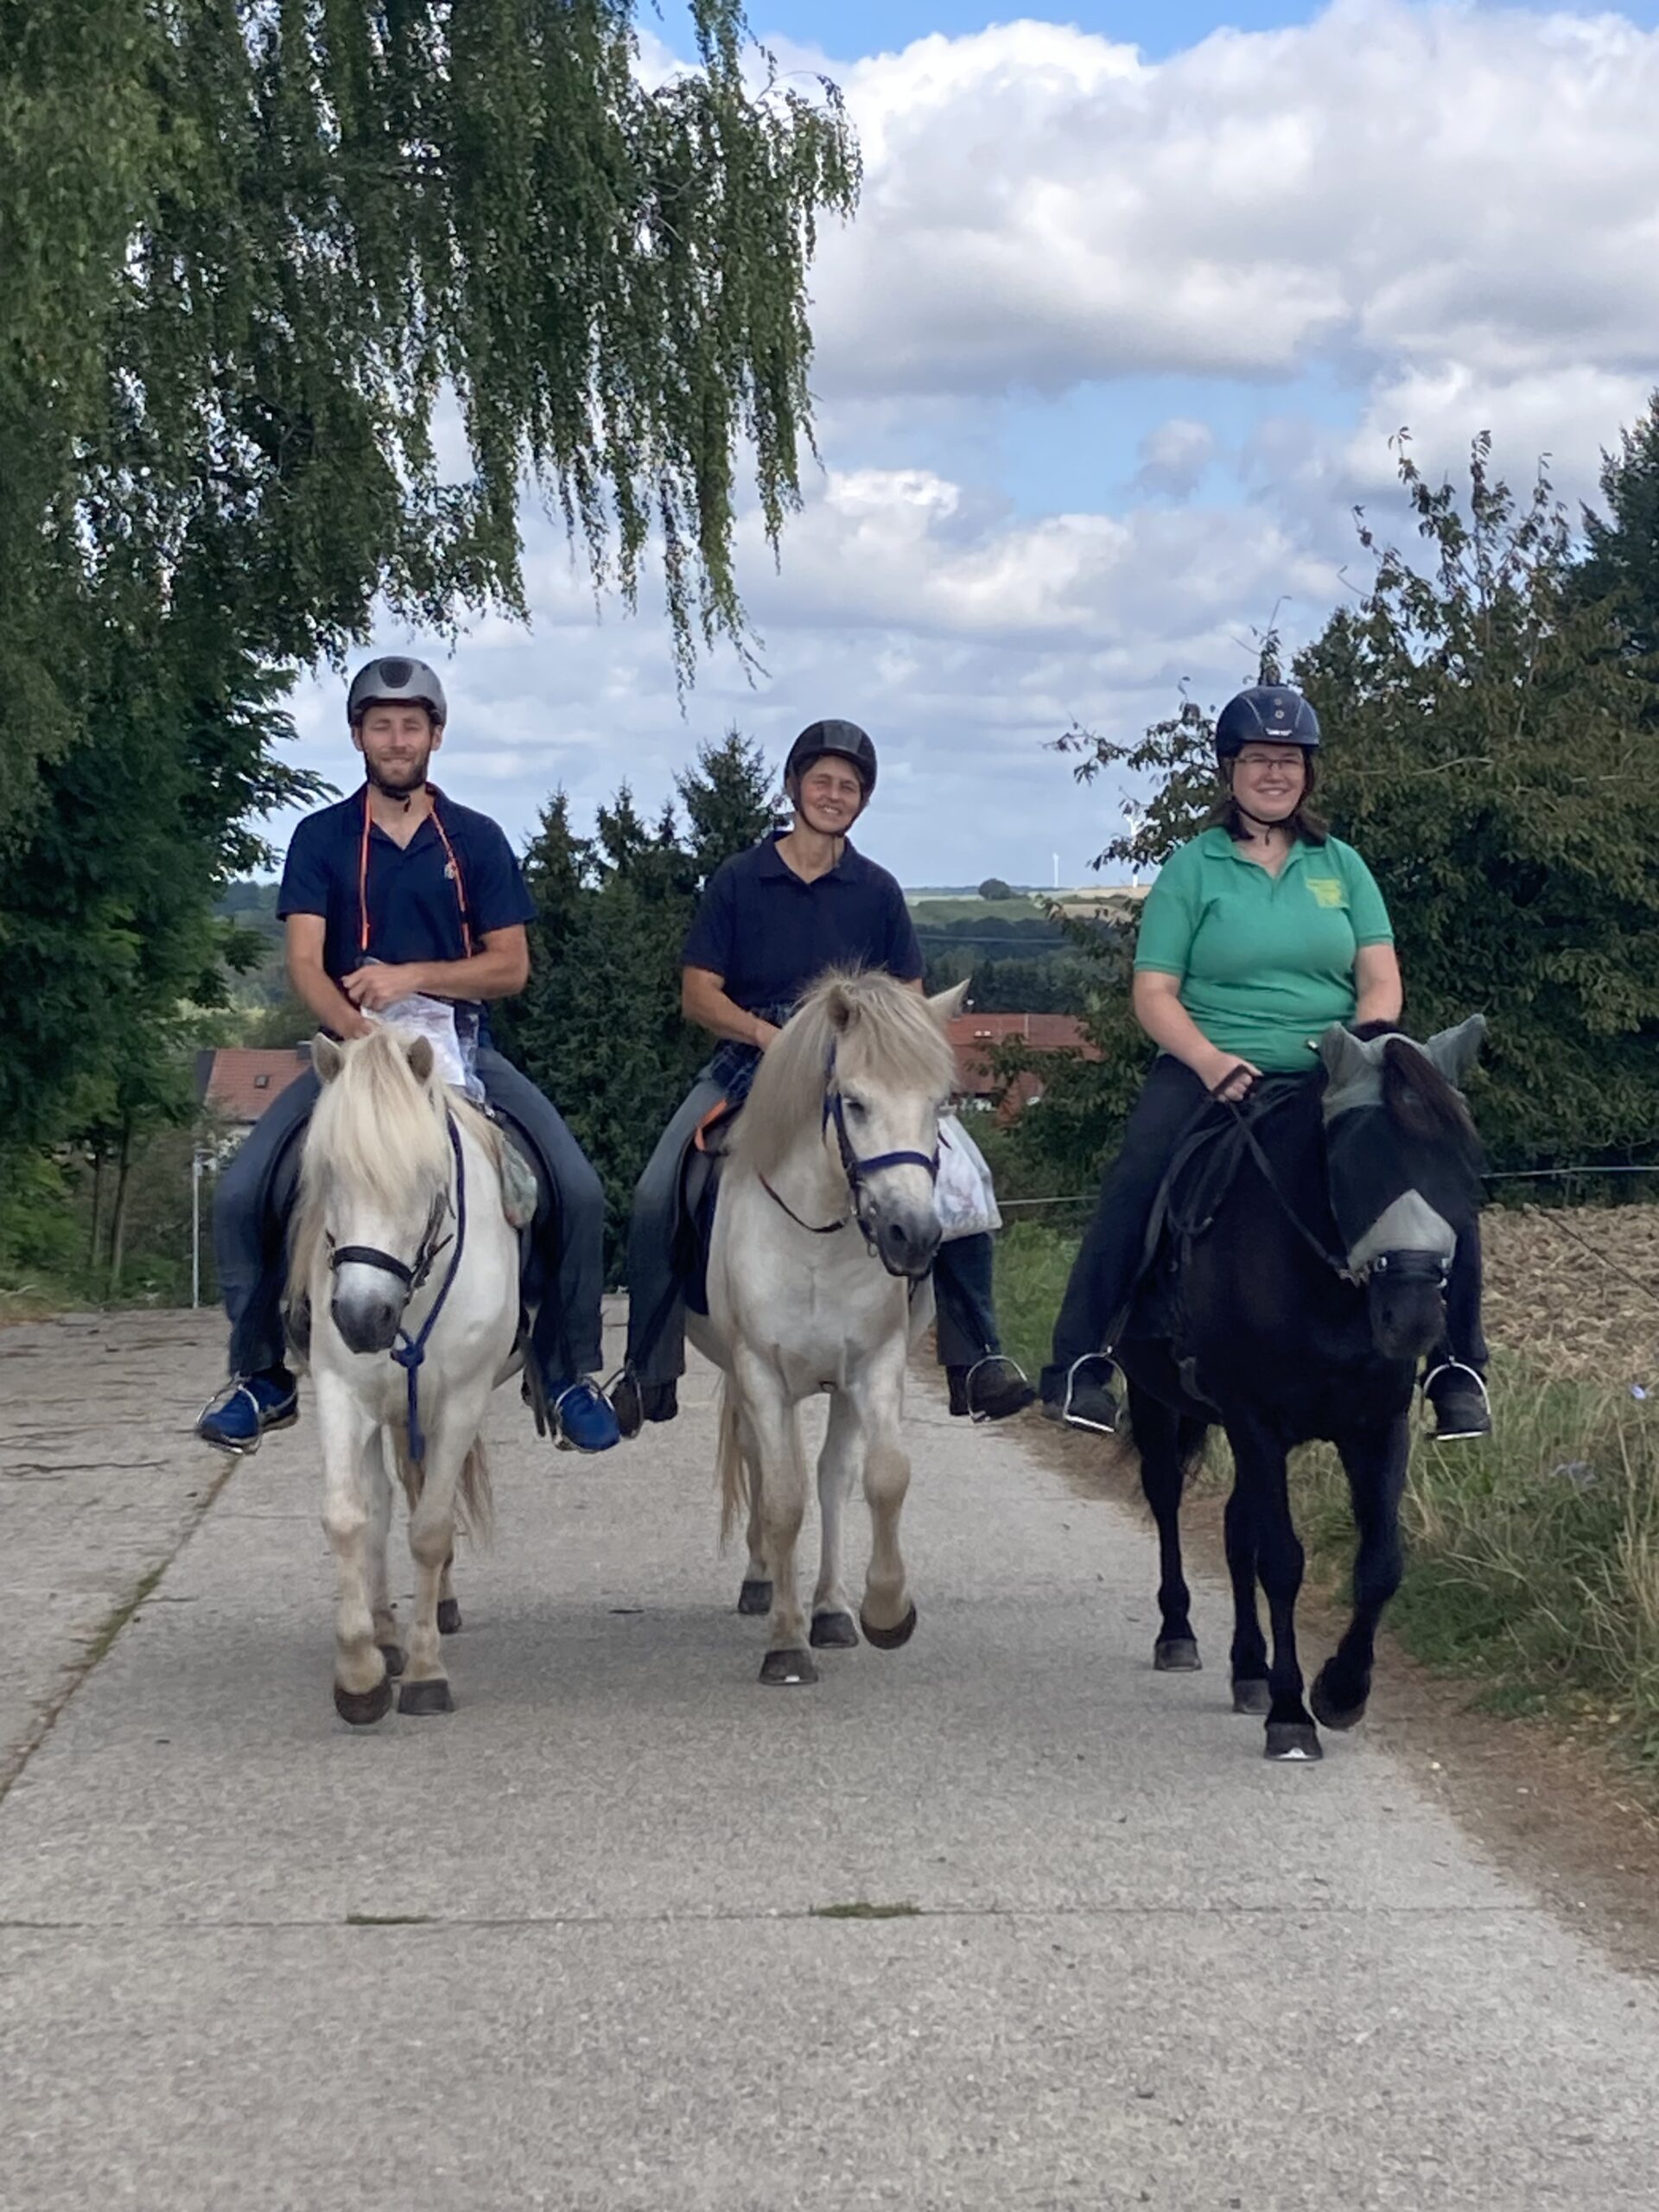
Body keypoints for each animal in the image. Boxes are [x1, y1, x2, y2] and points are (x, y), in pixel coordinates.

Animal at [287, 1021, 519, 1725]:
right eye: (327, 1174)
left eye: (424, 1177)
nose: (364, 1319)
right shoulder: (342, 1394)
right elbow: (349, 1517)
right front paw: (362, 1674)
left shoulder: (462, 1401)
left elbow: (432, 1530)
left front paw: (424, 1674)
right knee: (384, 1503)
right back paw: (388, 1634)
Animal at [690, 977, 960, 1681]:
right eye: (855, 1103)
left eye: (941, 1104)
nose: (912, 1236)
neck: (814, 1235)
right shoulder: (760, 1371)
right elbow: (783, 1500)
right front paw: (786, 1644)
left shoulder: (874, 1364)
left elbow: (883, 1477)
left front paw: (885, 1611)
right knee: (763, 1465)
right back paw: (763, 1581)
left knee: (832, 1474)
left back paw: (833, 1610)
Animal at [1119, 1017, 1495, 1760]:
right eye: (1356, 1163)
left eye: (1458, 1163)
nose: (1414, 1318)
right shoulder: (1256, 1421)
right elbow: (1284, 1563)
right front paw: (1292, 1714)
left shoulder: (1375, 1427)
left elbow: (1380, 1563)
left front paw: (1341, 1691)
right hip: (1160, 1404)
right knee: (1167, 1497)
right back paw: (1179, 1635)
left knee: (1236, 1529)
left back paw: (1248, 1670)